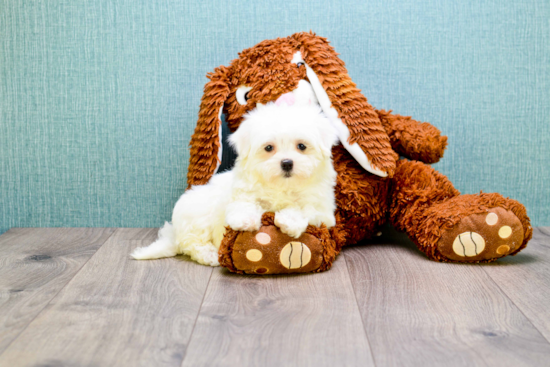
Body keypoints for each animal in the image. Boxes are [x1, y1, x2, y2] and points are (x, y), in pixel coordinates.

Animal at [132, 103, 338, 268]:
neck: (282, 186)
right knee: (191, 243)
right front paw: (245, 220)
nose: (287, 163)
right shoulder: (243, 192)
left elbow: (303, 209)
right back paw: (210, 254)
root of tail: (174, 233)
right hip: (196, 214)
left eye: (301, 146)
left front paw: (289, 221)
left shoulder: (323, 210)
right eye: (269, 148)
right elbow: (244, 204)